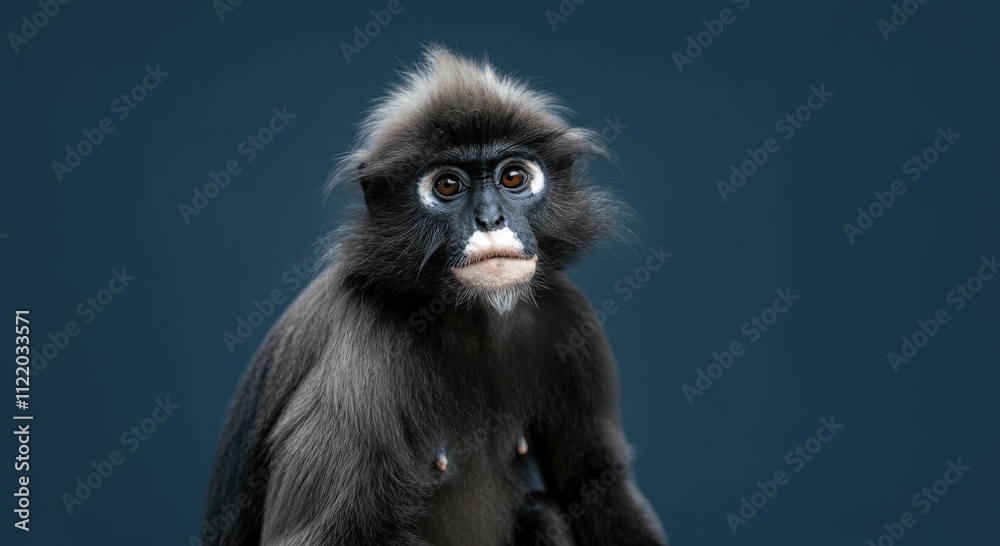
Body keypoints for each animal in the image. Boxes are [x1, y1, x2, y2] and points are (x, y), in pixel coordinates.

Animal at [202, 45, 667, 546]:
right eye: (447, 185)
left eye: (513, 177)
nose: (490, 219)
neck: (471, 320)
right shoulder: (362, 352)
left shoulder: (567, 315)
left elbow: (597, 483)